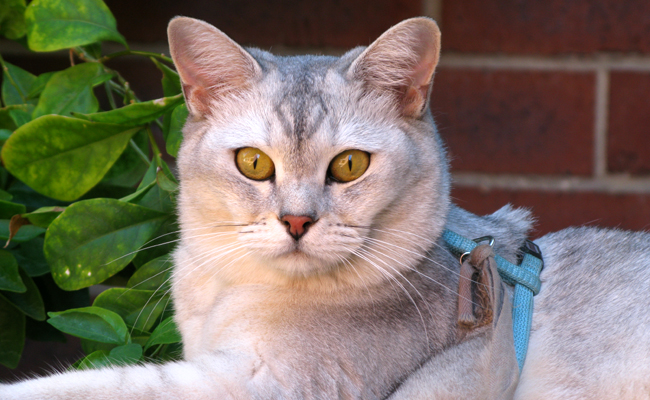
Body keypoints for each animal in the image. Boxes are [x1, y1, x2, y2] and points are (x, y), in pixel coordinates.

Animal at [1, 16, 648, 400]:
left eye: (350, 165)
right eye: (253, 163)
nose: (296, 221)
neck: (228, 286)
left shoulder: (254, 384)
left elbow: (88, 387)